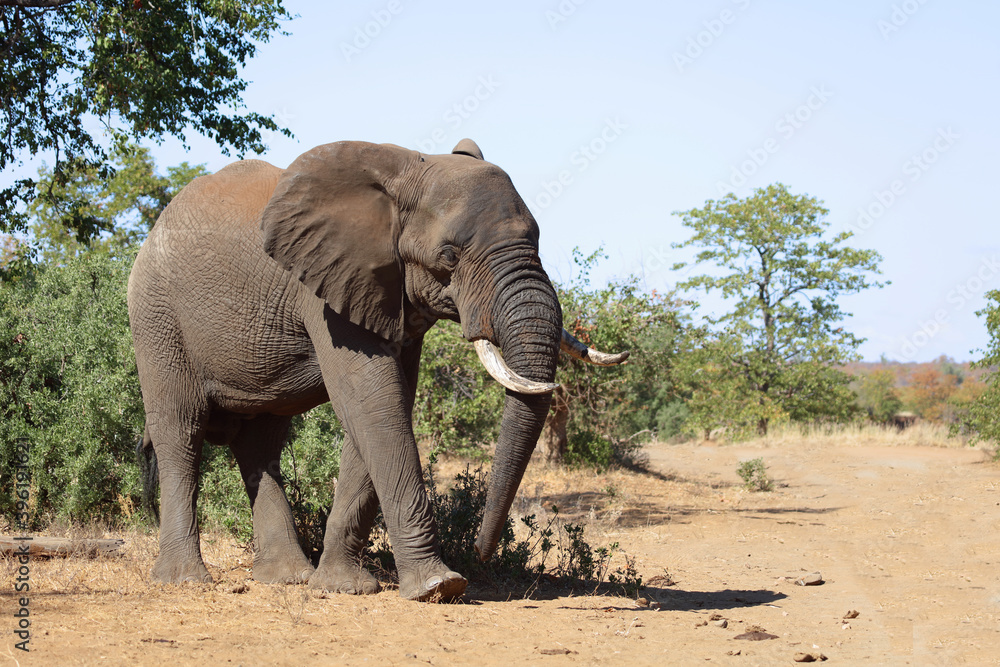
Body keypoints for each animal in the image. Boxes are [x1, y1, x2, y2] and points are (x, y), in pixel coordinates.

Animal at [127, 138, 628, 601]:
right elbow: (372, 401)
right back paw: (184, 580)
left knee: (259, 442)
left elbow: (384, 406)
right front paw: (439, 586)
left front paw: (342, 588)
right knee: (181, 431)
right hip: (155, 317)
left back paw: (287, 578)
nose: (482, 552)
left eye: (537, 240)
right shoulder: (325, 287)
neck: (405, 169)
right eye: (449, 255)